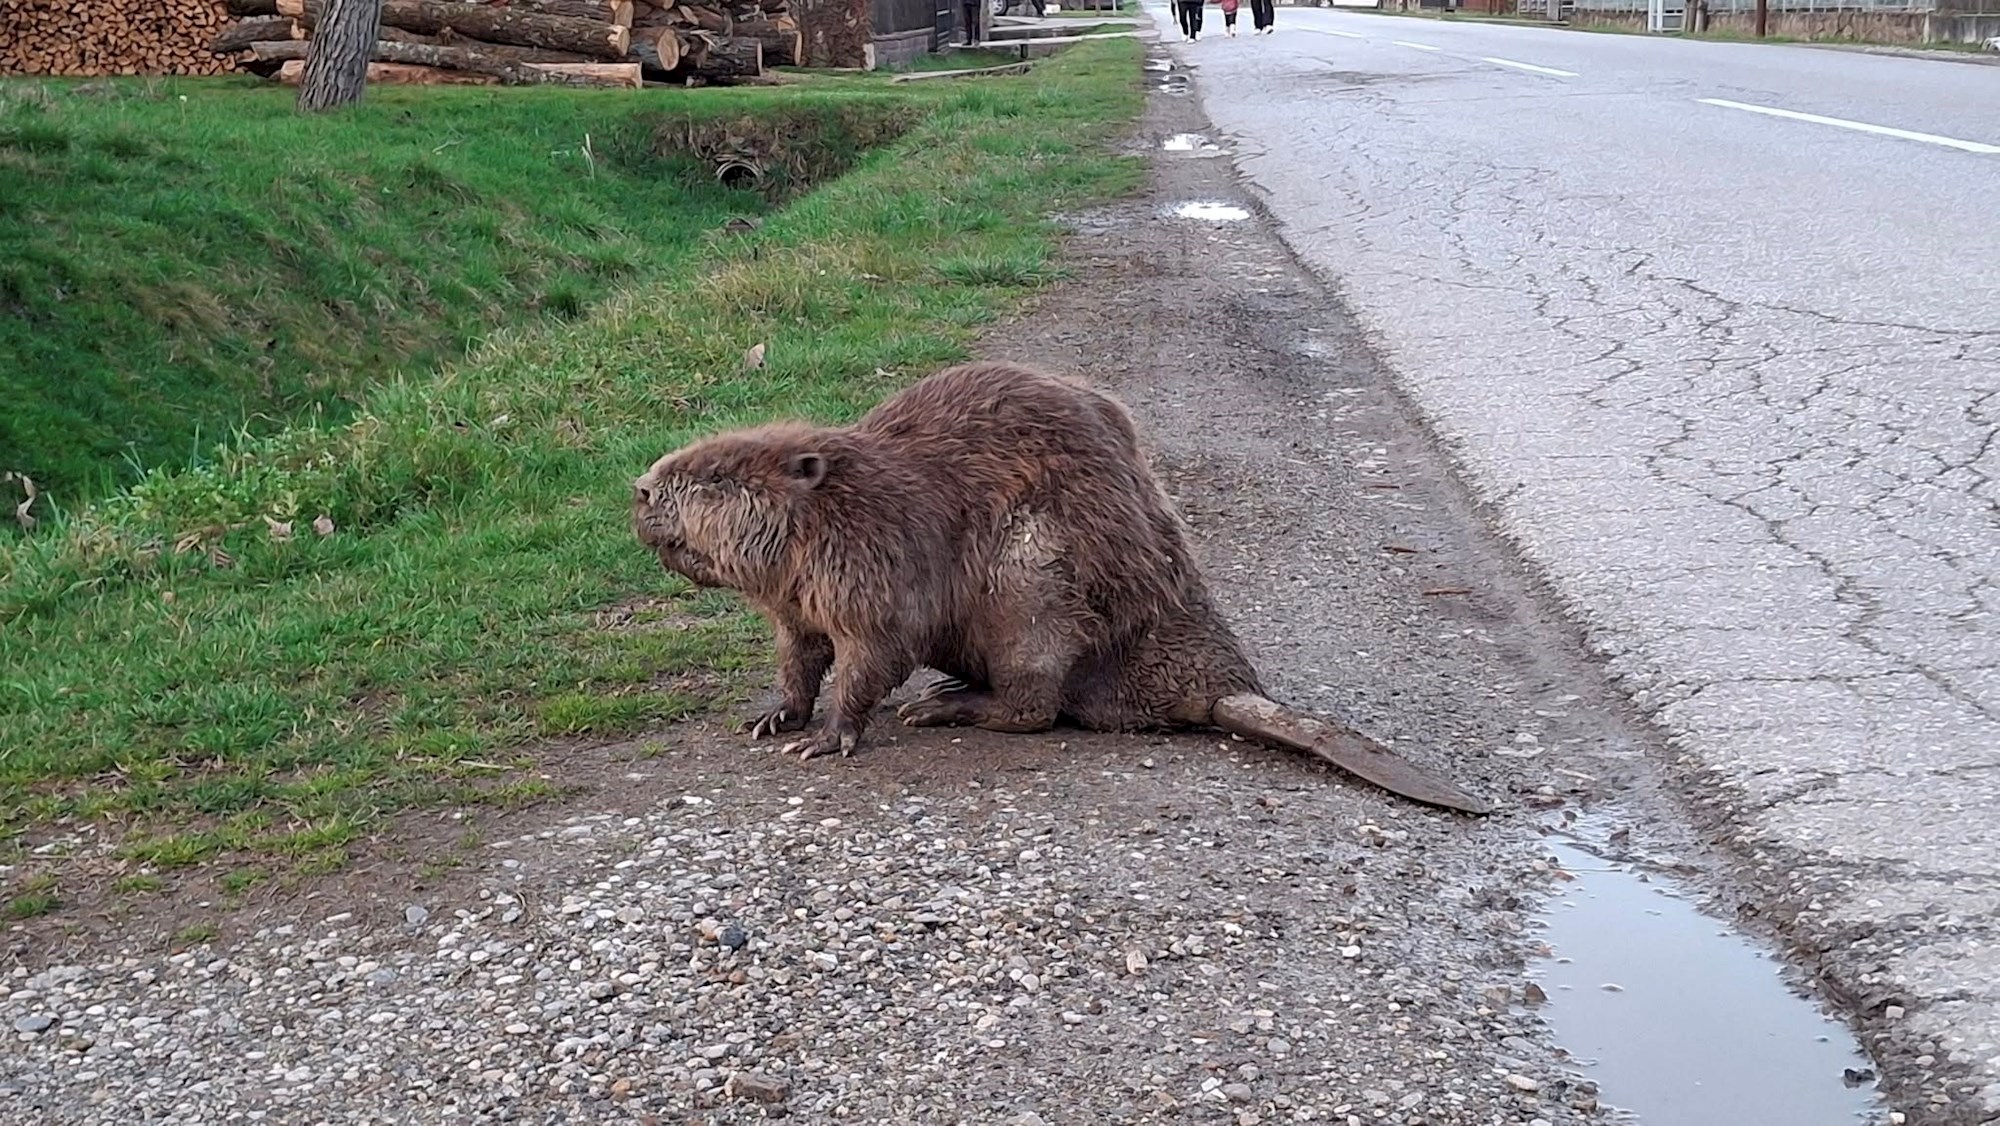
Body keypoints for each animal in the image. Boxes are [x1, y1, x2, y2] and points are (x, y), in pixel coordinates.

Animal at [632, 362, 1496, 812]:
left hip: (1034, 587)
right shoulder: (796, 597)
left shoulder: (879, 563)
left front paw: (827, 737)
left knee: (1034, 708)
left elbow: (874, 655)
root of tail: (1218, 685)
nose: (639, 490)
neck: (848, 499)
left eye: (714, 476)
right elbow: (798, 656)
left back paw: (942, 703)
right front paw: (772, 717)